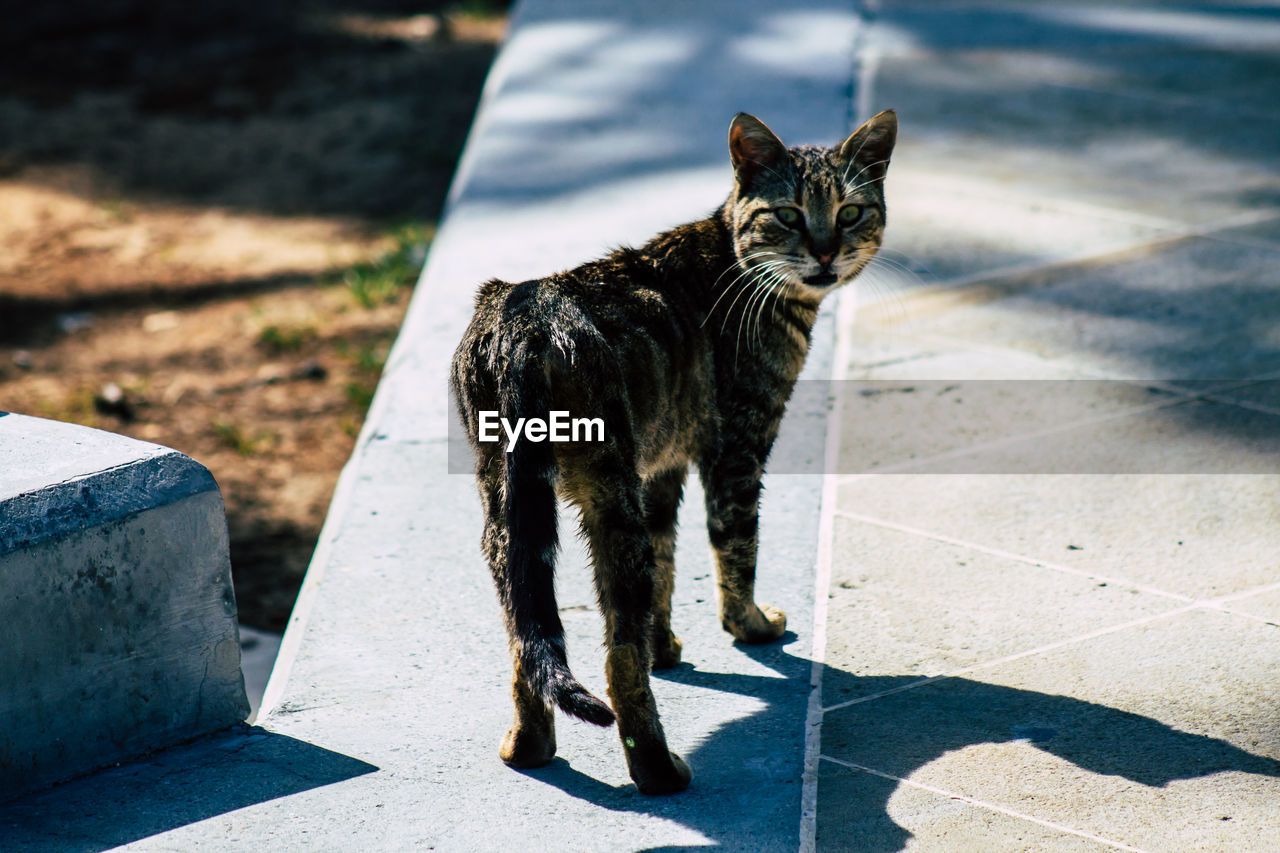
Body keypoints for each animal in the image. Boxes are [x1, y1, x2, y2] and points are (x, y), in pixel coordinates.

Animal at [455, 109, 896, 794]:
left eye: (849, 212)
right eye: (788, 214)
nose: (825, 252)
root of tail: (528, 316)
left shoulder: (660, 467)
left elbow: (666, 567)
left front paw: (666, 647)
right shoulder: (738, 448)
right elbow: (736, 550)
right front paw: (750, 627)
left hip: (506, 501)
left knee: (527, 639)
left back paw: (528, 747)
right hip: (607, 499)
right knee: (617, 658)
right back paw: (659, 770)